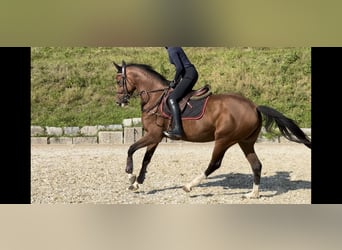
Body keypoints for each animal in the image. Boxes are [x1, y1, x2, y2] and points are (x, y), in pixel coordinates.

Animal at [112, 60, 310, 197]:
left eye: (118, 81)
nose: (119, 101)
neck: (155, 97)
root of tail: (254, 107)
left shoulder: (153, 134)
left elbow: (131, 149)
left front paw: (130, 174)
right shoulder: (156, 136)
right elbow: (146, 159)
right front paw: (137, 182)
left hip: (224, 139)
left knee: (215, 163)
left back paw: (189, 185)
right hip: (245, 142)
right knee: (256, 164)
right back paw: (253, 194)